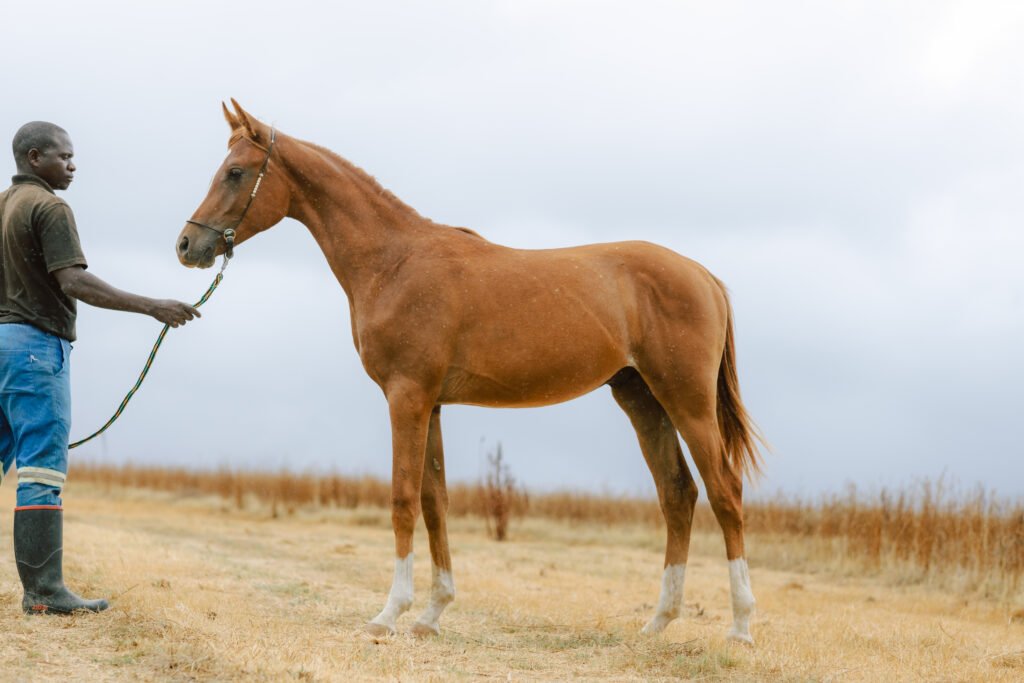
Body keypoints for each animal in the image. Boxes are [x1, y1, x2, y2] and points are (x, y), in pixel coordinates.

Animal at [178, 98, 761, 643]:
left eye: (236, 171)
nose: (187, 245)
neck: (394, 262)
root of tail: (703, 276)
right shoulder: (431, 403)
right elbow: (434, 501)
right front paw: (431, 614)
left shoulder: (406, 396)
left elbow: (402, 499)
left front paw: (389, 614)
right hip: (640, 397)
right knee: (677, 494)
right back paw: (658, 623)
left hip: (687, 401)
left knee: (724, 493)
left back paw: (740, 627)